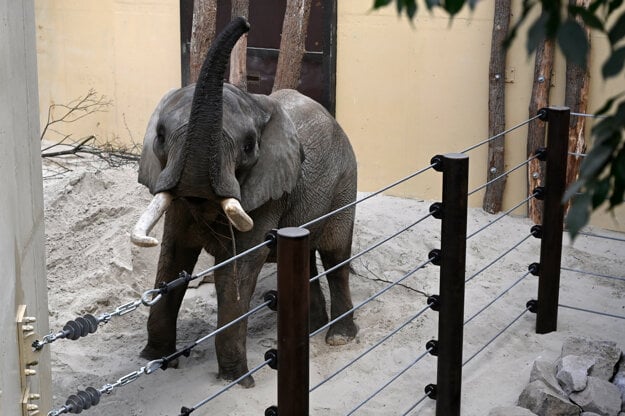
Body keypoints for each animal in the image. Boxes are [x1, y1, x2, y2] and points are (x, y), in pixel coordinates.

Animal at [129, 17, 358, 386]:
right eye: (161, 137)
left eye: (249, 146)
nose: (245, 22)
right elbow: (173, 256)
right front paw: (154, 360)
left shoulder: (269, 192)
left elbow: (239, 266)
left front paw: (236, 380)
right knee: (305, 255)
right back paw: (312, 329)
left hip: (345, 183)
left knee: (335, 255)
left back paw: (338, 336)